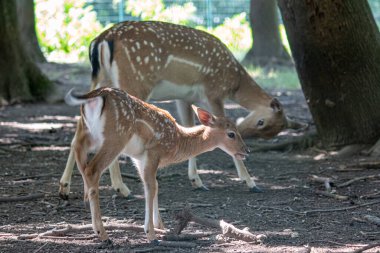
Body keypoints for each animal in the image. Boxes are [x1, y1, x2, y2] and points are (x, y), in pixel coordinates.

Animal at [58, 20, 296, 198]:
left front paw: (197, 181)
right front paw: (251, 182)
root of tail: (100, 41)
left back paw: (65, 188)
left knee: (80, 122)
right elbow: (219, 121)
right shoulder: (213, 91)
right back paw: (121, 188)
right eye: (262, 121)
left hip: (99, 81)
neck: (234, 83)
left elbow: (190, 126)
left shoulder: (184, 97)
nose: (247, 138)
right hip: (134, 81)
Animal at [65, 87, 249, 241]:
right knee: (92, 169)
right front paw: (151, 234)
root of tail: (95, 96)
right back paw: (102, 234)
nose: (246, 151)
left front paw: (160, 226)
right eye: (231, 134)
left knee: (77, 149)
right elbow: (151, 187)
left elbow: (153, 186)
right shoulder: (154, 151)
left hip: (87, 131)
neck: (177, 141)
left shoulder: (139, 158)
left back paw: (83, 200)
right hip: (115, 136)